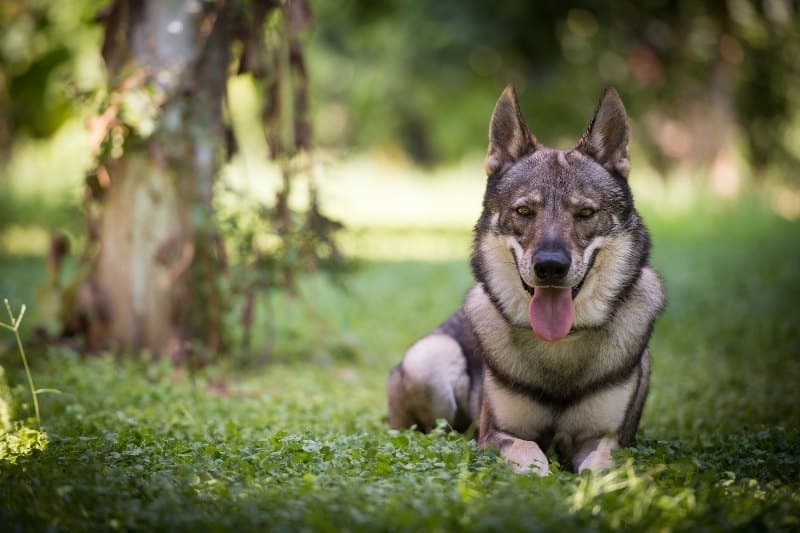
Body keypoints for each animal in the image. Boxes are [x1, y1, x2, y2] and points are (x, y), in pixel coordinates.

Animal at [386, 86, 664, 474]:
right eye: (524, 211)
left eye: (585, 213)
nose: (550, 266)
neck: (560, 346)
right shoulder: (497, 433)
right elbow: (529, 453)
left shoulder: (605, 439)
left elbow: (599, 466)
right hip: (430, 358)